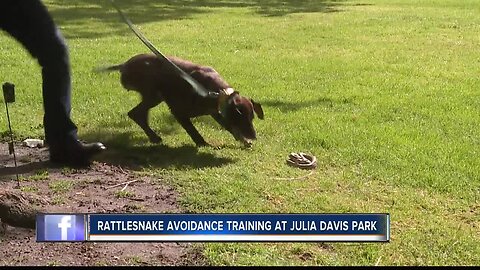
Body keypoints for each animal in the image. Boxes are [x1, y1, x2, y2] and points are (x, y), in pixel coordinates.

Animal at [96, 53, 262, 147]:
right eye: (240, 116)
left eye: (252, 117)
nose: (254, 136)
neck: (211, 91)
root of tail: (124, 65)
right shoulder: (178, 112)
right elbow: (193, 130)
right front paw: (203, 143)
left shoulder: (216, 112)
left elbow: (229, 126)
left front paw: (243, 140)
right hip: (153, 94)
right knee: (136, 113)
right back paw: (154, 137)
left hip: (154, 97)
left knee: (137, 114)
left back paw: (153, 137)